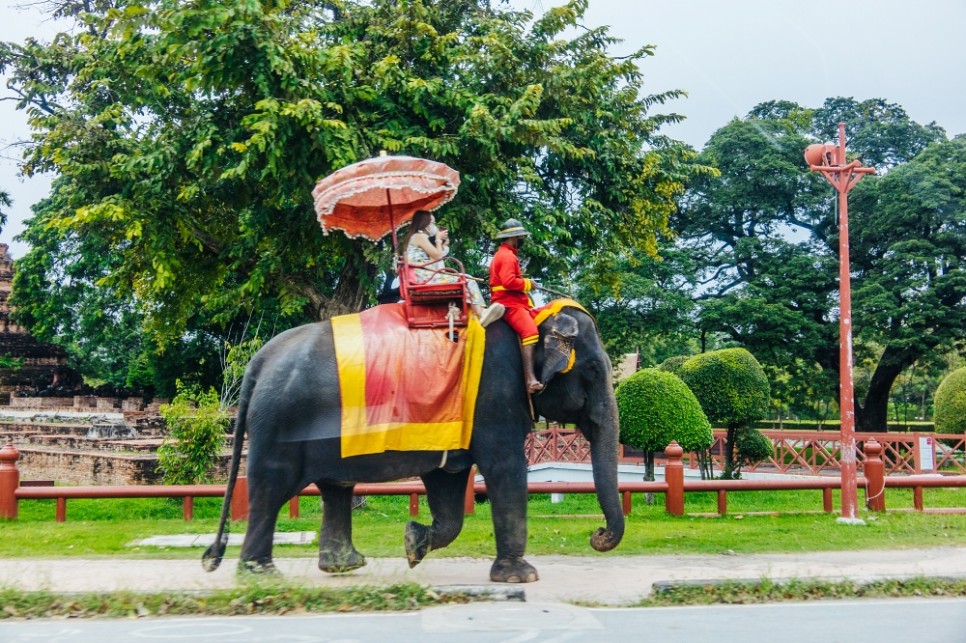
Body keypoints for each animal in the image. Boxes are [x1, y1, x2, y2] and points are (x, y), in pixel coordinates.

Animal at [205, 304, 628, 584]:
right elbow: (504, 468)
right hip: (280, 427)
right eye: (593, 369)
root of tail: (258, 361)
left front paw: (412, 543)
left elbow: (449, 482)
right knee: (270, 491)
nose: (597, 535)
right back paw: (262, 576)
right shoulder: (493, 398)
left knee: (334, 487)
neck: (532, 318)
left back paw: (344, 566)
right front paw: (521, 578)